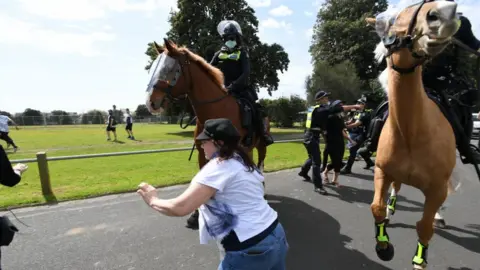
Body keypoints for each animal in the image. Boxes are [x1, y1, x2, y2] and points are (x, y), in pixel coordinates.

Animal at [368, 1, 462, 268]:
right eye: (390, 21)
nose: (446, 11)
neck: (411, 132)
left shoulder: (437, 188)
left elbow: (425, 226)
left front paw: (419, 259)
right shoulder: (382, 171)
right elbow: (376, 207)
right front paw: (383, 245)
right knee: (396, 190)